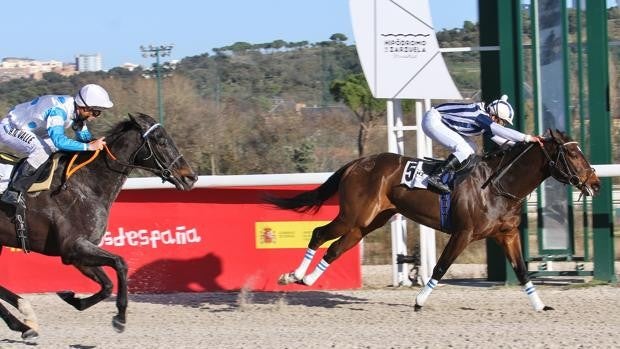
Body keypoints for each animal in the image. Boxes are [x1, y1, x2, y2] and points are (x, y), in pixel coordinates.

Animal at [0, 113, 196, 338]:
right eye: (161, 141)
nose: (190, 177)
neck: (86, 185)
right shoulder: (73, 247)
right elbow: (120, 262)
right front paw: (120, 317)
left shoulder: (79, 253)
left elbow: (107, 284)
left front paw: (72, 298)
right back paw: (23, 320)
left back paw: (24, 320)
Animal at [266, 129, 600, 312]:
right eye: (573, 156)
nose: (595, 183)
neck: (496, 185)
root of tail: (355, 163)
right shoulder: (463, 233)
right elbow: (441, 266)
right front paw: (419, 300)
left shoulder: (507, 235)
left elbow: (521, 271)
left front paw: (540, 304)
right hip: (352, 215)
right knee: (319, 234)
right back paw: (292, 276)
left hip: (368, 223)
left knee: (336, 248)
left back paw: (307, 279)